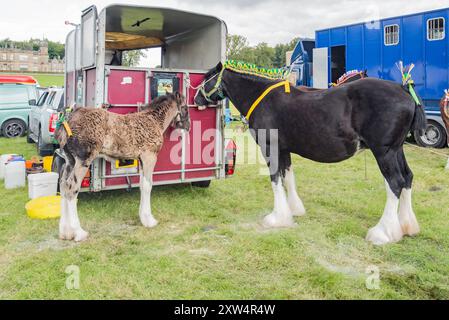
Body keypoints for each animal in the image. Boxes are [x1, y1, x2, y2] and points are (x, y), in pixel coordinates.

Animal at [194, 62, 426, 245]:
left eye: (206, 79)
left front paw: (277, 218)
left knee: (395, 182)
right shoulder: (284, 150)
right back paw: (407, 226)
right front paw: (294, 210)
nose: (196, 98)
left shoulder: (270, 147)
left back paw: (383, 233)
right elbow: (288, 178)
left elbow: (275, 180)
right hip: (396, 150)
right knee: (407, 178)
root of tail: (403, 90)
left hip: (384, 152)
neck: (262, 97)